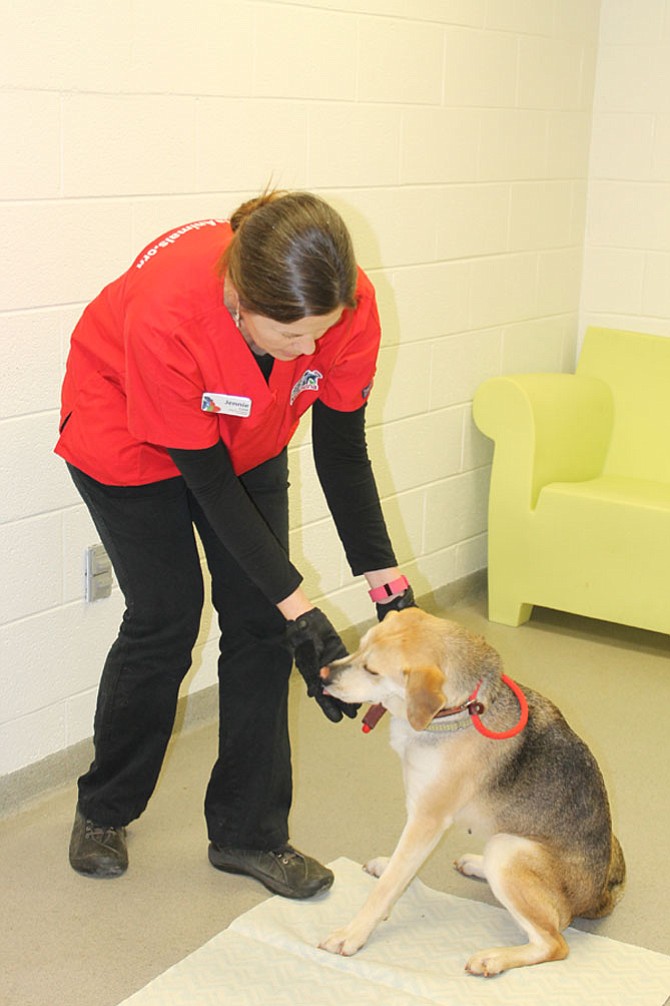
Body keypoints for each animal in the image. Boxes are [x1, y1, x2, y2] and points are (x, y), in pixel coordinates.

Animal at [315, 603, 623, 973]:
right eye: (358, 647)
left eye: (371, 669)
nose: (322, 673)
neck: (457, 712)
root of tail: (599, 897)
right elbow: (399, 871)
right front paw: (387, 870)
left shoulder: (426, 819)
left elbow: (387, 888)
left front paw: (352, 934)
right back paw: (476, 865)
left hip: (508, 851)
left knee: (553, 943)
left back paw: (495, 957)